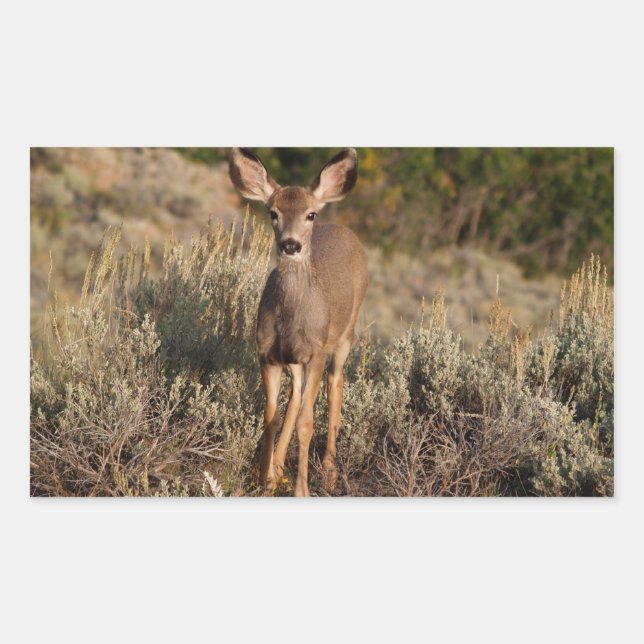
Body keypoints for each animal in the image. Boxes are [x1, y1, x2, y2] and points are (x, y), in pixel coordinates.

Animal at [229, 148, 369, 496]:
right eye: (273, 213)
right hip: (294, 358)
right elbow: (271, 416)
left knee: (335, 384)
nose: (290, 245)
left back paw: (330, 471)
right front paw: (264, 481)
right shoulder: (267, 353)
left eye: (310, 215)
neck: (291, 319)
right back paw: (278, 469)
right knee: (295, 396)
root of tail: (347, 231)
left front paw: (301, 490)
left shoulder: (315, 351)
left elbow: (307, 421)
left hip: (345, 334)